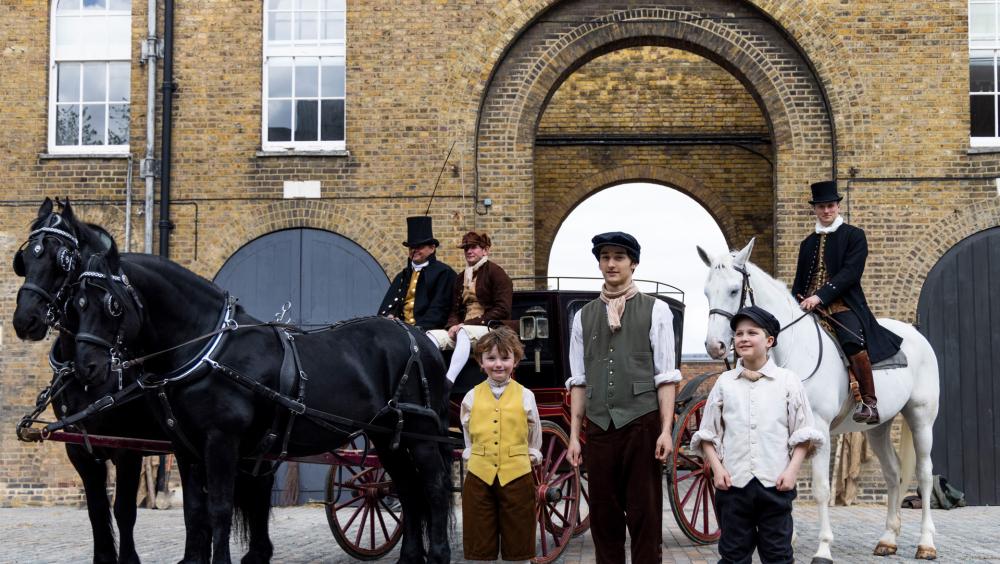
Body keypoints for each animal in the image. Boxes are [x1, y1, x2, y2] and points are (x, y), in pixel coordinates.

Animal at [71, 245, 458, 560]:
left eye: (113, 305)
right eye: (77, 303)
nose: (85, 367)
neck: (208, 351)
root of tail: (421, 339)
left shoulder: (222, 442)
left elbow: (220, 509)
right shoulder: (186, 449)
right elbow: (194, 513)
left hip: (421, 434)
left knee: (435, 487)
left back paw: (439, 554)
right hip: (387, 436)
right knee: (407, 488)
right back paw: (411, 557)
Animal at [700, 239, 940, 564]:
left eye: (735, 290)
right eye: (706, 291)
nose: (715, 346)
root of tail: (915, 335)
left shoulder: (820, 430)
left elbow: (821, 489)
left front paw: (823, 547)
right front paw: (788, 538)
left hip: (921, 418)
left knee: (924, 474)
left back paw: (926, 543)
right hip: (878, 427)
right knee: (892, 473)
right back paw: (888, 539)